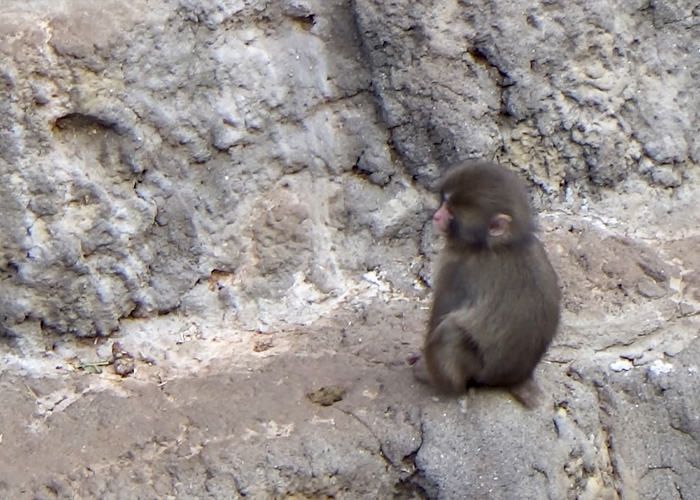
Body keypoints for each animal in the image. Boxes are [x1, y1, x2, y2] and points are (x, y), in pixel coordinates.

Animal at [413, 160, 561, 408]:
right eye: (444, 203)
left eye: (451, 211)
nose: (437, 216)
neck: (501, 244)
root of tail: (513, 378)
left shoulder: (455, 269)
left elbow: (441, 313)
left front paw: (423, 369)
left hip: (476, 369)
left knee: (449, 333)